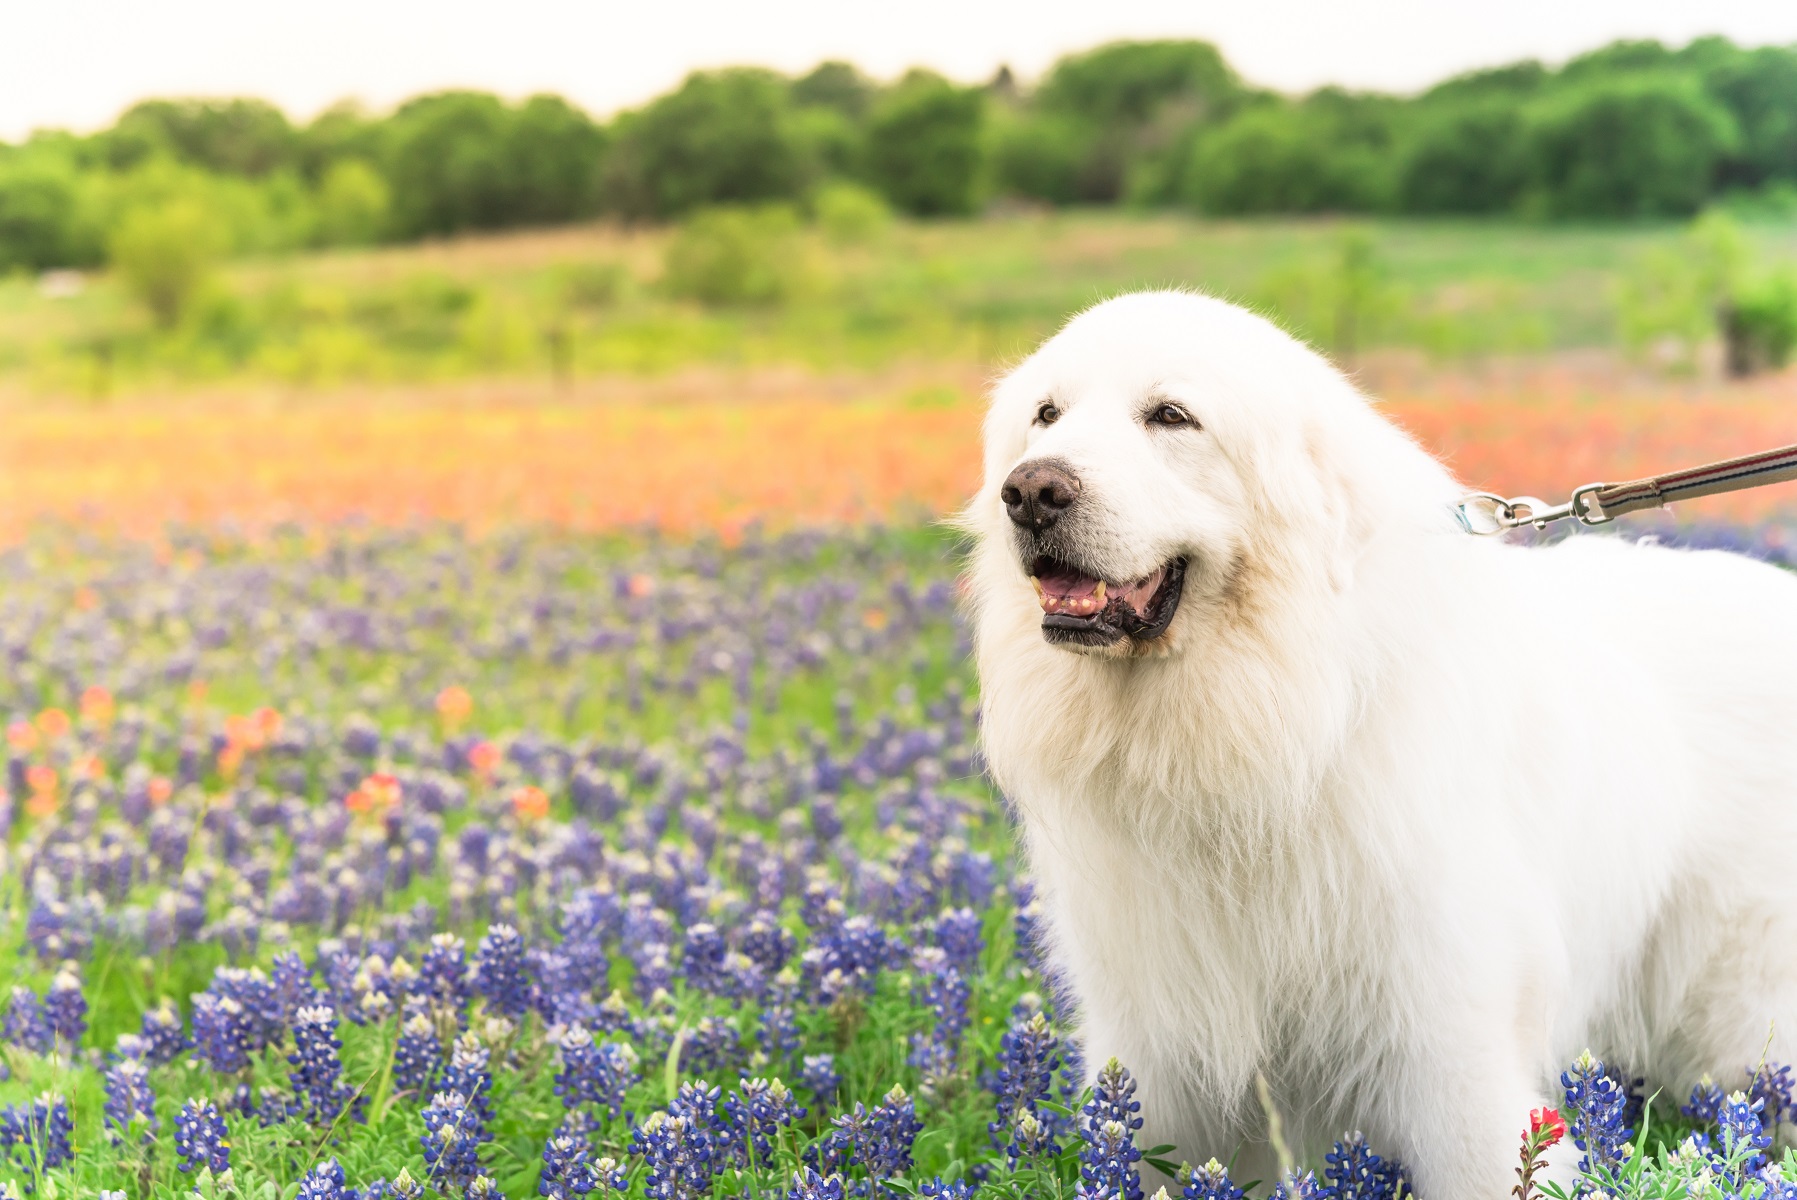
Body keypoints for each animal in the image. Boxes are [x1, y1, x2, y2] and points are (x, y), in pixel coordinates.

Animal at [970, 292, 1797, 1200]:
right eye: (1045, 415)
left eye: (1170, 416)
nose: (1032, 490)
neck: (1261, 723)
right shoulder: (1160, 1046)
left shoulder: (1445, 1045)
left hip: (1746, 1001)